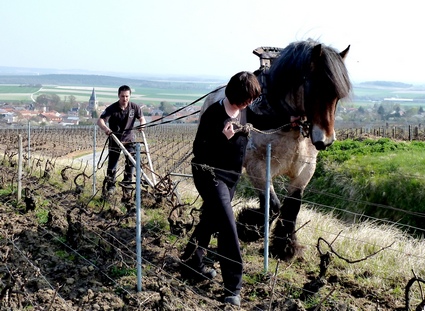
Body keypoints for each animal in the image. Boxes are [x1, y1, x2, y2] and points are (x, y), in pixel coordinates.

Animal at [200, 39, 350, 264]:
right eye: (317, 88)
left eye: (337, 95)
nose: (326, 140)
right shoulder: (258, 167)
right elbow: (272, 206)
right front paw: (248, 228)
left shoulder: (305, 171)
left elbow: (291, 208)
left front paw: (285, 247)